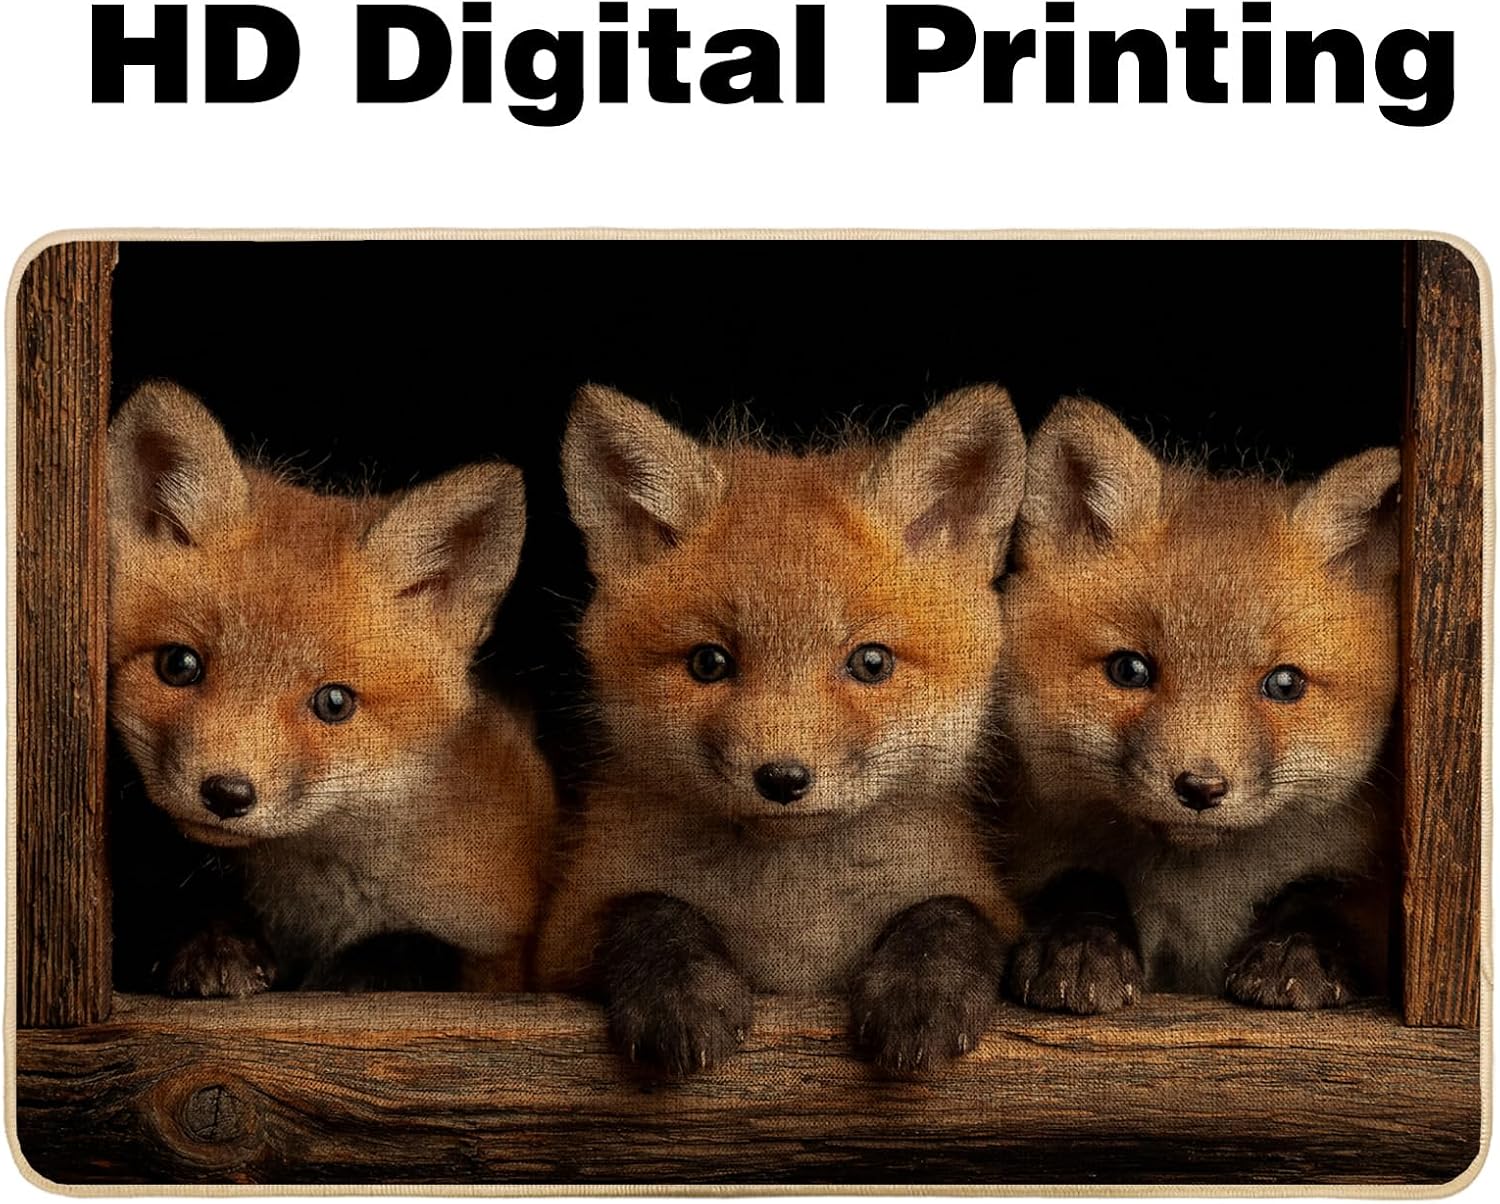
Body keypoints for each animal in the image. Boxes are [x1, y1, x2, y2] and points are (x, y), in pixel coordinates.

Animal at [107, 380, 556, 995]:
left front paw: (367, 966)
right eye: (179, 665)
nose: (227, 794)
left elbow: (426, 951)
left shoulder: (501, 947)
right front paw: (212, 942)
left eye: (334, 702)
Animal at [534, 383, 1026, 1075]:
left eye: (871, 662)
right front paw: (681, 994)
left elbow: (949, 915)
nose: (784, 778)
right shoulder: (563, 940)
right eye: (709, 663)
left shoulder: (983, 897)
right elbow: (649, 910)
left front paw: (924, 992)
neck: (791, 915)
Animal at [994, 397, 1398, 1013]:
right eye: (1129, 670)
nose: (1200, 789)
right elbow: (1078, 882)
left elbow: (1322, 894)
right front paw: (1080, 945)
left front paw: (1295, 951)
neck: (1195, 899)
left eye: (1285, 684)